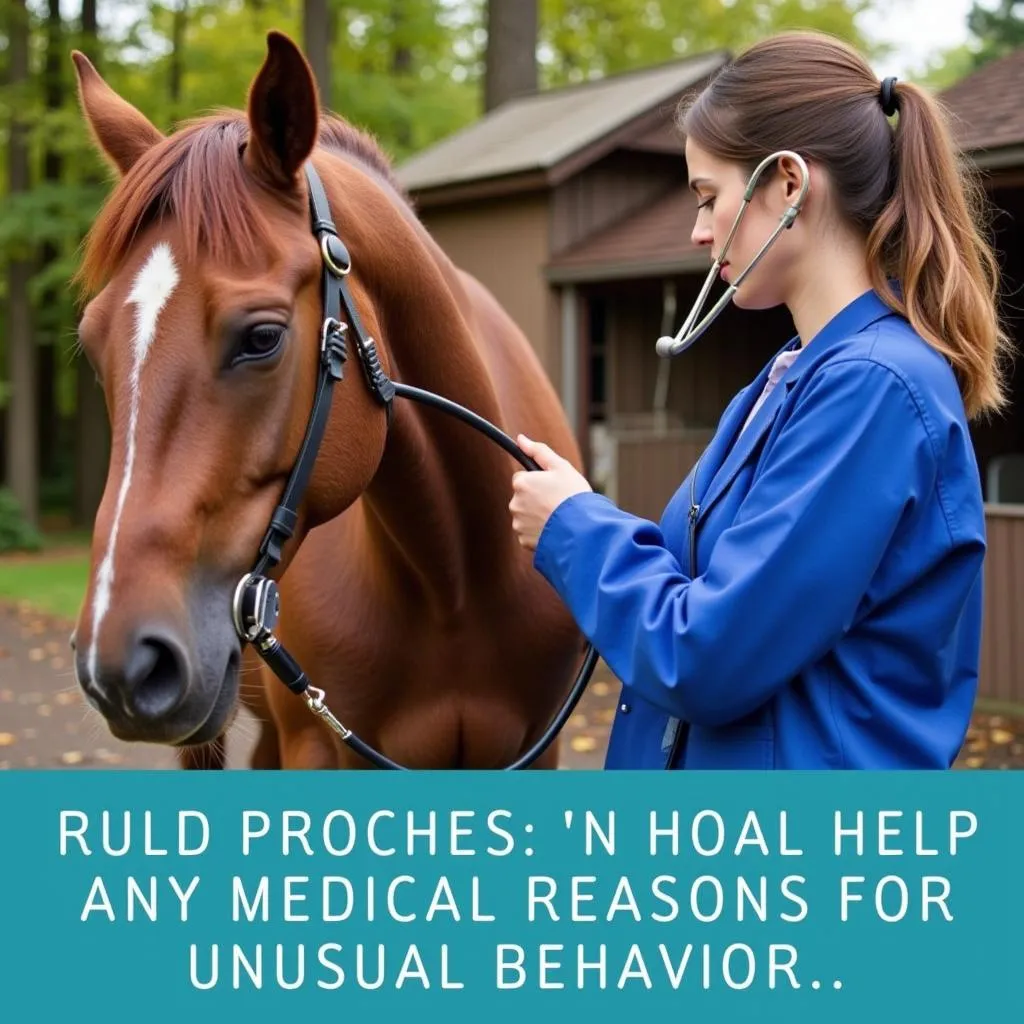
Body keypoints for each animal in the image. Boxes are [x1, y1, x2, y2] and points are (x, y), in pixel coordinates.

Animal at [70, 29, 585, 770]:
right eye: (93, 346)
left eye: (262, 337)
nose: (117, 663)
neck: (458, 581)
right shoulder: (320, 742)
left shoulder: (538, 749)